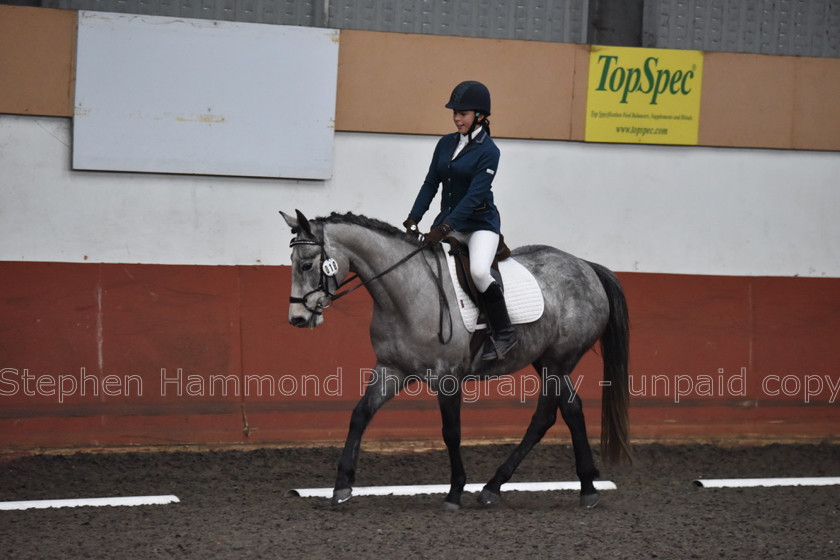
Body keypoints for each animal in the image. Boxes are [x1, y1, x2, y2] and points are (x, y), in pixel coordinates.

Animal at [282, 209, 632, 508]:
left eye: (306, 264)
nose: (297, 318)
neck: (407, 293)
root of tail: (585, 266)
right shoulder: (391, 369)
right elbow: (360, 415)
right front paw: (342, 486)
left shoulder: (447, 378)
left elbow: (451, 432)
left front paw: (454, 493)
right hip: (547, 361)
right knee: (568, 411)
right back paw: (578, 489)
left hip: (559, 361)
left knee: (548, 416)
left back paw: (504, 487)